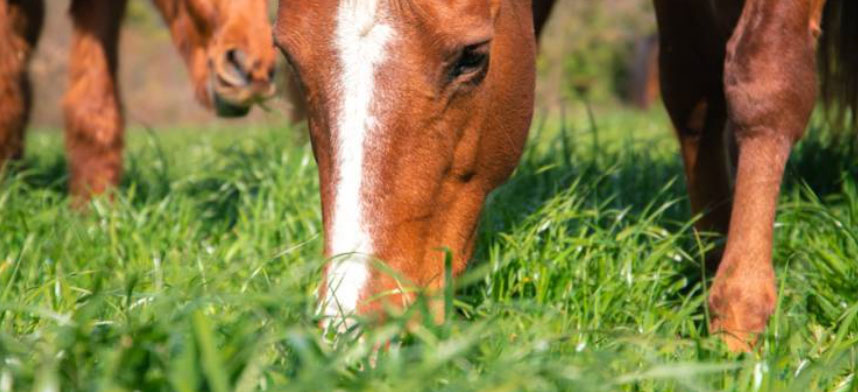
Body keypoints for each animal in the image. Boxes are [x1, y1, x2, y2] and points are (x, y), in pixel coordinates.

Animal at [278, 0, 852, 350]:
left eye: (472, 57)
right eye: (290, 59)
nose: (355, 327)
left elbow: (765, 80)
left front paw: (738, 324)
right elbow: (690, 91)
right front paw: (712, 266)